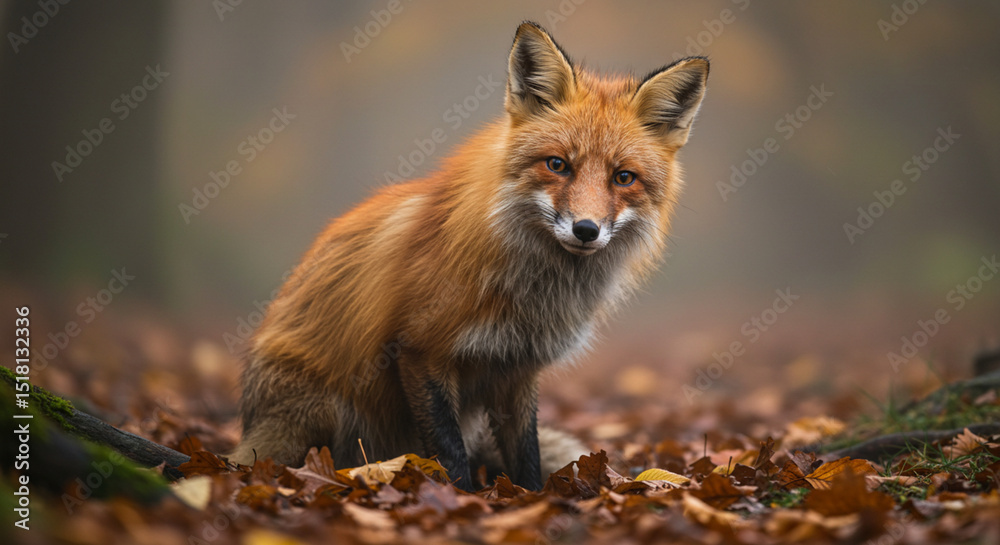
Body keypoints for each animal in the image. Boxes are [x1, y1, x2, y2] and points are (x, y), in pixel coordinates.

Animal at [233, 22, 709, 491]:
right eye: (557, 165)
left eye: (623, 177)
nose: (586, 230)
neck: (533, 289)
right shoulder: (421, 351)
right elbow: (450, 455)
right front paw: (460, 499)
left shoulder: (518, 368)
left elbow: (527, 456)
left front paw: (529, 499)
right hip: (324, 413)